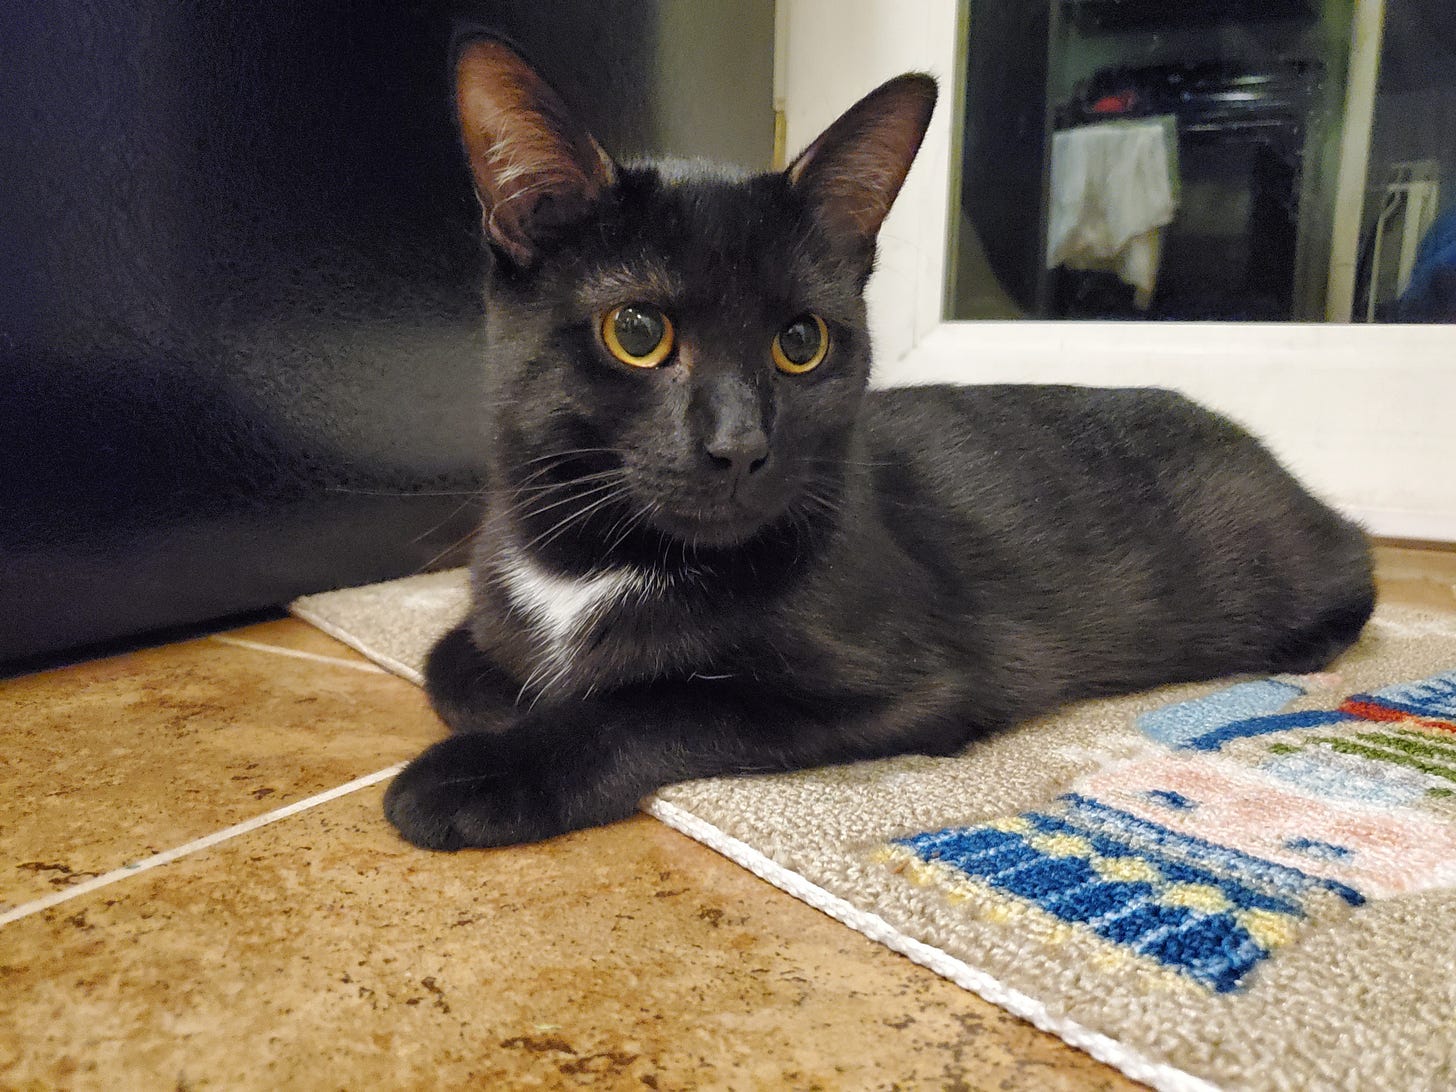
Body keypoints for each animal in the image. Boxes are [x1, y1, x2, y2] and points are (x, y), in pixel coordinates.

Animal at [381, 36, 1368, 856]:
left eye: (801, 341)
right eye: (637, 331)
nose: (739, 445)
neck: (594, 560)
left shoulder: (909, 684)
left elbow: (660, 703)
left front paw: (489, 768)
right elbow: (452, 662)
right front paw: (508, 693)